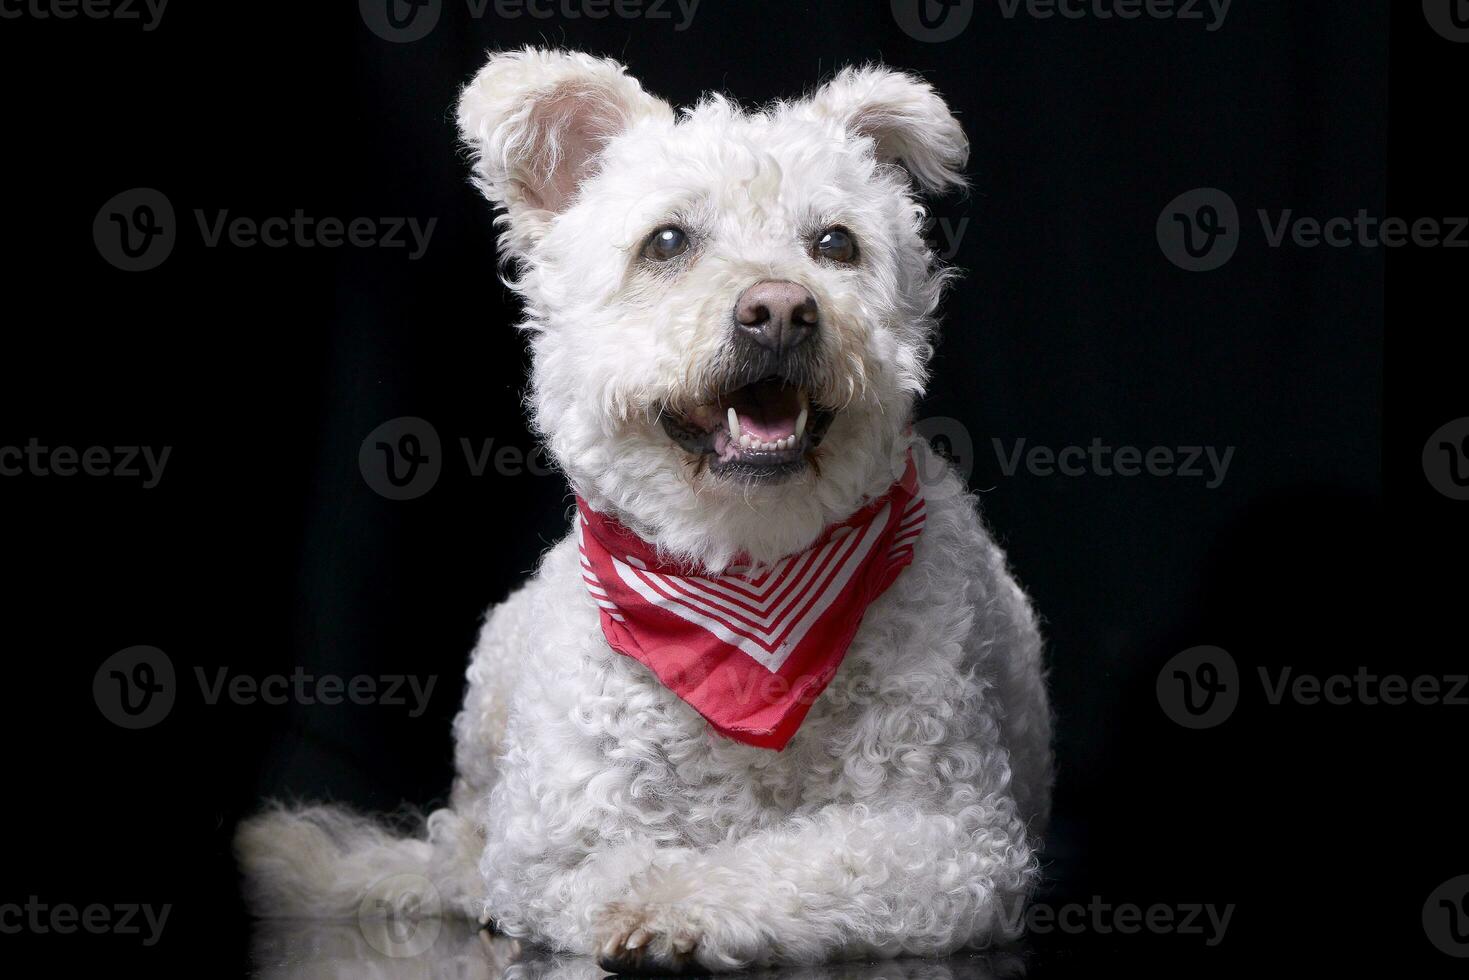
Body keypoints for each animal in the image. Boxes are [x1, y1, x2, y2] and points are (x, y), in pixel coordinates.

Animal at [235, 49, 1051, 975]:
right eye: (666, 242)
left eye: (835, 243)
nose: (780, 310)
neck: (744, 580)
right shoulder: (547, 846)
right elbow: (598, 864)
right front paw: (645, 889)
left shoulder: (954, 841)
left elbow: (795, 860)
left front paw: (677, 901)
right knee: (462, 852)